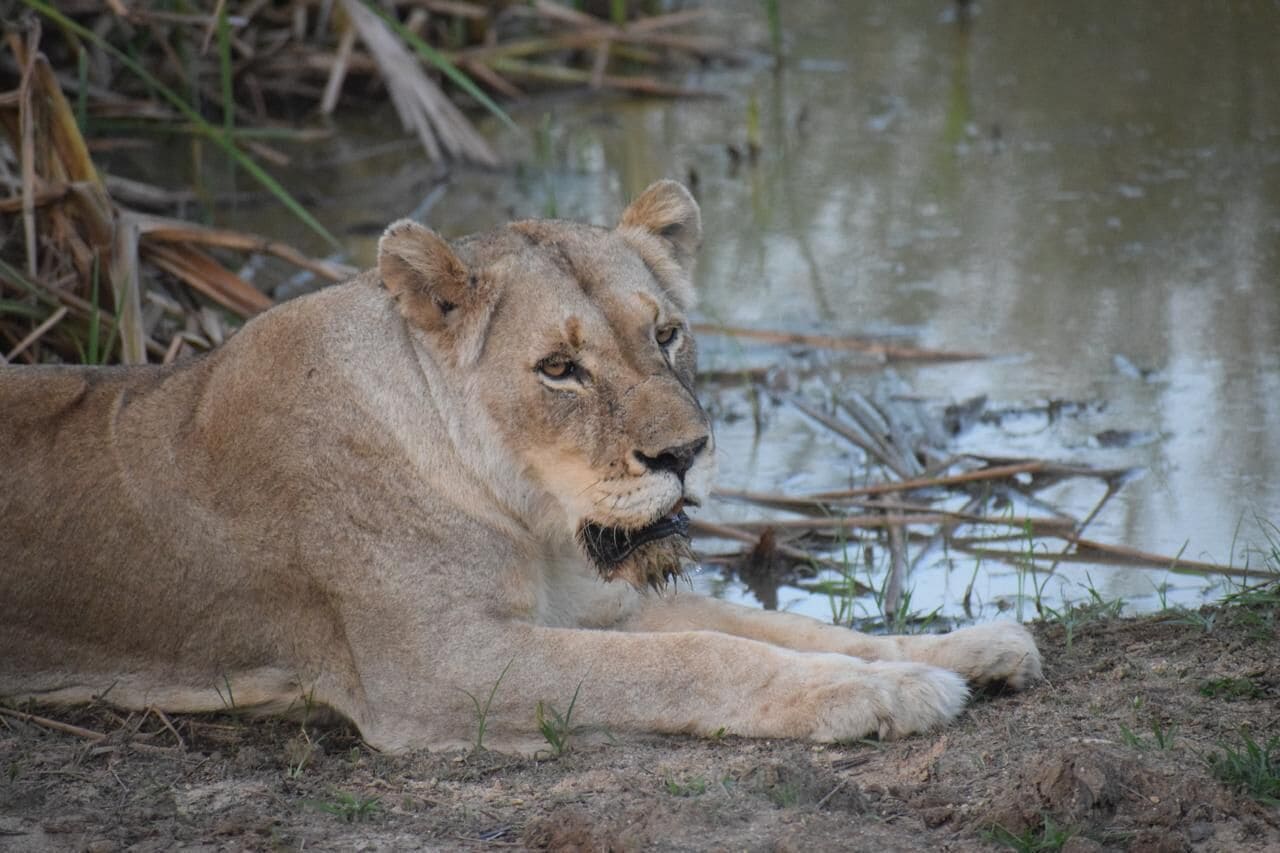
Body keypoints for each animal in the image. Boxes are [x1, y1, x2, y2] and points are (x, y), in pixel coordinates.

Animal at [0, 181, 1040, 752]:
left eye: (667, 334)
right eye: (559, 369)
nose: (686, 454)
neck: (534, 523)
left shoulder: (599, 601)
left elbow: (790, 627)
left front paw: (963, 651)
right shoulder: (440, 668)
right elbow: (696, 659)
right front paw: (873, 698)